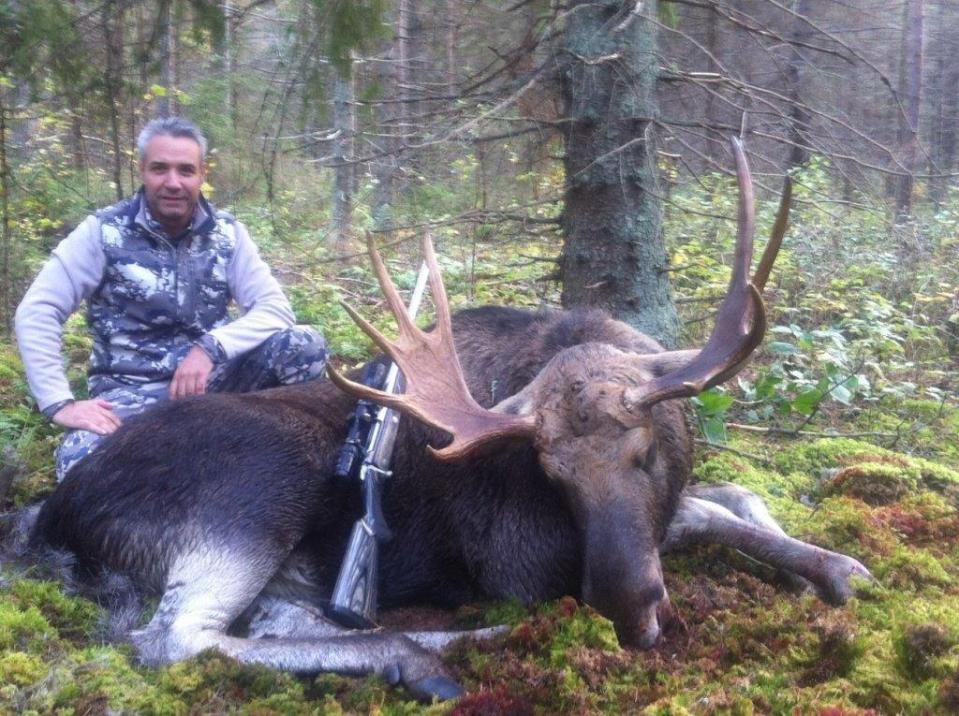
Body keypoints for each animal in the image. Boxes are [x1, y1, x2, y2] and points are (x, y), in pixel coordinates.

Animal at [26, 140, 871, 701]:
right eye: (553, 477)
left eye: (644, 451)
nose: (627, 610)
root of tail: (56, 518)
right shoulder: (522, 562)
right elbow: (702, 515)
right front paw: (831, 569)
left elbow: (729, 498)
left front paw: (822, 564)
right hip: (253, 494)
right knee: (173, 641)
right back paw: (444, 651)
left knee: (270, 623)